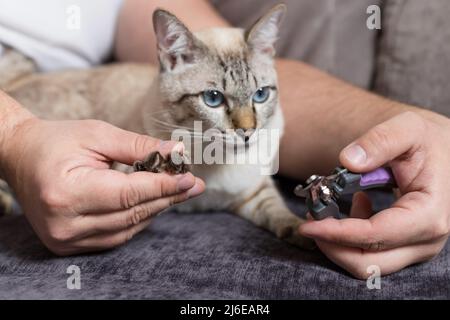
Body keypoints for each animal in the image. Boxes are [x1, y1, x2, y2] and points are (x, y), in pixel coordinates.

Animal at [1, 5, 314, 249]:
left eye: (260, 95)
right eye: (213, 99)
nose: (247, 132)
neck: (218, 162)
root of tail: (14, 84)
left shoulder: (252, 191)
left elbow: (280, 212)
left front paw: (305, 234)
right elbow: (136, 168)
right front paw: (162, 166)